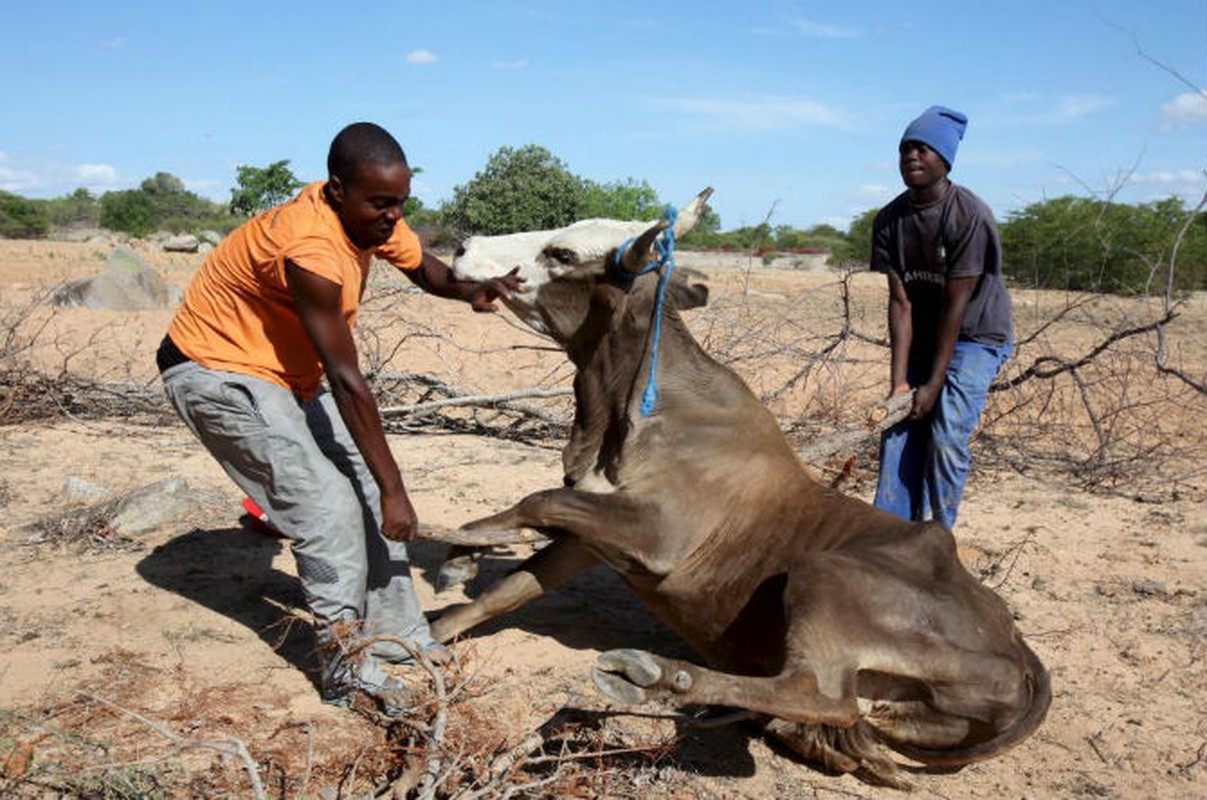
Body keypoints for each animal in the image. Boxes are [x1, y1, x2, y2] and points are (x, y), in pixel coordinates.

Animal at [434, 189, 1047, 786]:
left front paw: (468, 541)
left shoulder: (658, 537)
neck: (630, 411)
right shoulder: (594, 537)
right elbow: (510, 587)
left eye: (561, 253)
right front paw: (437, 621)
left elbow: (537, 501)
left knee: (822, 694)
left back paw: (658, 676)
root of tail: (1018, 650)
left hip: (823, 573)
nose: (463, 246)